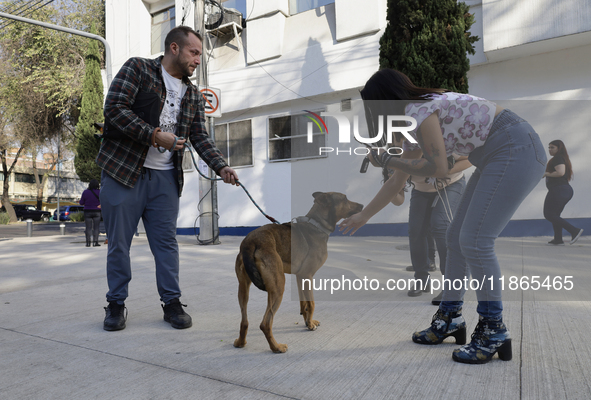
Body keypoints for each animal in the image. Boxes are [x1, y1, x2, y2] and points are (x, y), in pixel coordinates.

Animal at [232, 192, 364, 352]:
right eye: (344, 199)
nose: (362, 205)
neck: (317, 224)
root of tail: (250, 242)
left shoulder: (300, 277)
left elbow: (304, 303)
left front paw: (308, 321)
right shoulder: (307, 276)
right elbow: (311, 303)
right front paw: (310, 325)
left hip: (243, 288)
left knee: (244, 321)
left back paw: (240, 342)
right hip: (278, 287)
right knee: (265, 323)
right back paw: (276, 347)